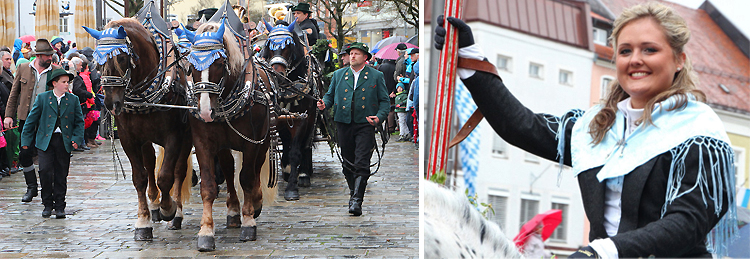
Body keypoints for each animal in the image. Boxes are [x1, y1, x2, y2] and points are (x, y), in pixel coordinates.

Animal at [83, 15, 194, 242]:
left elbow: (166, 176)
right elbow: (140, 177)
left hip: (187, 137)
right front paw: (143, 222)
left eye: (121, 58)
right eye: (97, 61)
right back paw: (154, 206)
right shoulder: (129, 138)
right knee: (150, 163)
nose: (110, 103)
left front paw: (168, 208)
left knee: (179, 171)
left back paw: (176, 214)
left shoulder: (174, 136)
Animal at [186, 20, 278, 254]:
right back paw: (234, 211)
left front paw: (249, 222)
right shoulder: (203, 143)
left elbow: (246, 178)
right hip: (223, 145)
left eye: (219, 63)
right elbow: (208, 186)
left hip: (263, 140)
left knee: (255, 169)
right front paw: (206, 231)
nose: (205, 111)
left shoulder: (251, 142)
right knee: (228, 169)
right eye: (191, 66)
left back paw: (255, 203)